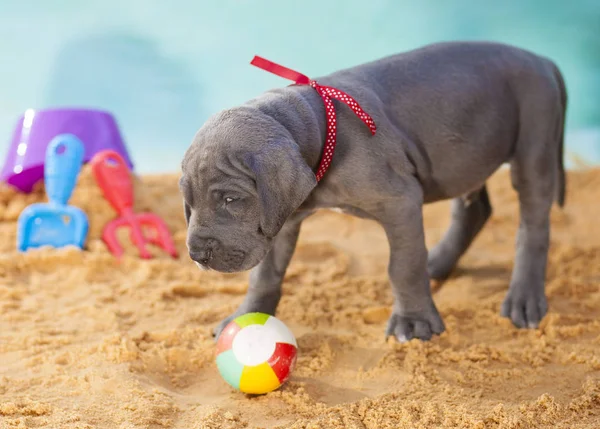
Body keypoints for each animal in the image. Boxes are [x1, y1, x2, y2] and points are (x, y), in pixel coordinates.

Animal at [180, 40, 564, 342]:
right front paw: (243, 316)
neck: (320, 126)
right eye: (189, 205)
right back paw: (438, 263)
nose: (197, 254)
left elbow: (403, 266)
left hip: (534, 139)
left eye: (231, 199)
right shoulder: (281, 220)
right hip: (465, 156)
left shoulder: (400, 201)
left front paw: (414, 322)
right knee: (474, 209)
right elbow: (264, 274)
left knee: (533, 226)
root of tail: (542, 59)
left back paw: (524, 298)